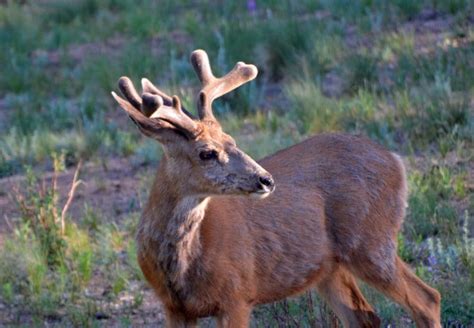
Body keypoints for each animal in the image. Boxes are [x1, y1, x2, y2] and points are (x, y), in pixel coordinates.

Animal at [111, 50, 440, 326]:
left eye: (231, 139)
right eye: (206, 152)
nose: (265, 179)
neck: (183, 265)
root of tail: (396, 160)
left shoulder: (237, 296)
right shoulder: (175, 308)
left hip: (371, 240)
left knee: (427, 299)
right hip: (330, 267)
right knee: (366, 316)